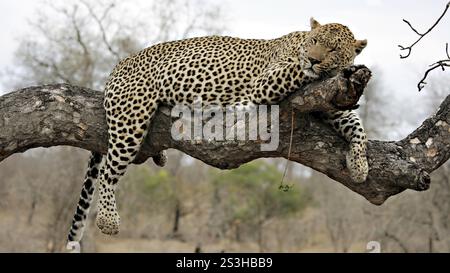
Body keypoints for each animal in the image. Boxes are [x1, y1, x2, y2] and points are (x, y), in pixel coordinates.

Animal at [67, 17, 370, 242]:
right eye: (314, 41)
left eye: (333, 49)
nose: (313, 59)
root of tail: (117, 66)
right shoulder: (266, 83)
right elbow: (297, 70)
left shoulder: (331, 103)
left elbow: (357, 127)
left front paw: (360, 166)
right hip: (131, 117)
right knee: (108, 170)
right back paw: (107, 220)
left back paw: (160, 157)